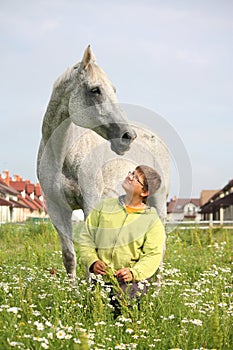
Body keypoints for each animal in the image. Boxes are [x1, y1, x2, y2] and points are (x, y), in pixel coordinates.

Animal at [36, 45, 169, 278]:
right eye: (95, 90)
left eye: (113, 90)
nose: (127, 136)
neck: (62, 154)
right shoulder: (56, 208)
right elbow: (69, 256)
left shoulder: (90, 201)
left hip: (159, 202)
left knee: (160, 249)